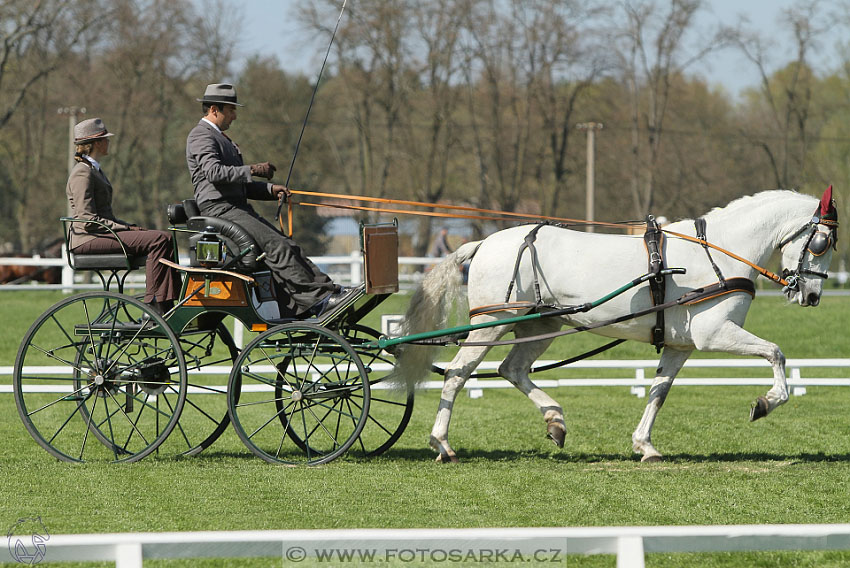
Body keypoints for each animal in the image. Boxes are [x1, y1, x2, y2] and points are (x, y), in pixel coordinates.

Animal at [394, 189, 840, 464]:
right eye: (822, 243)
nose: (813, 295)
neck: (718, 254)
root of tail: (484, 242)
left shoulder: (679, 346)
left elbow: (658, 392)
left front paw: (646, 446)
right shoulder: (715, 335)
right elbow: (776, 353)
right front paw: (766, 402)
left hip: (539, 325)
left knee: (512, 369)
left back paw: (555, 421)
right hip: (493, 323)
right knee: (457, 374)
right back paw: (443, 443)